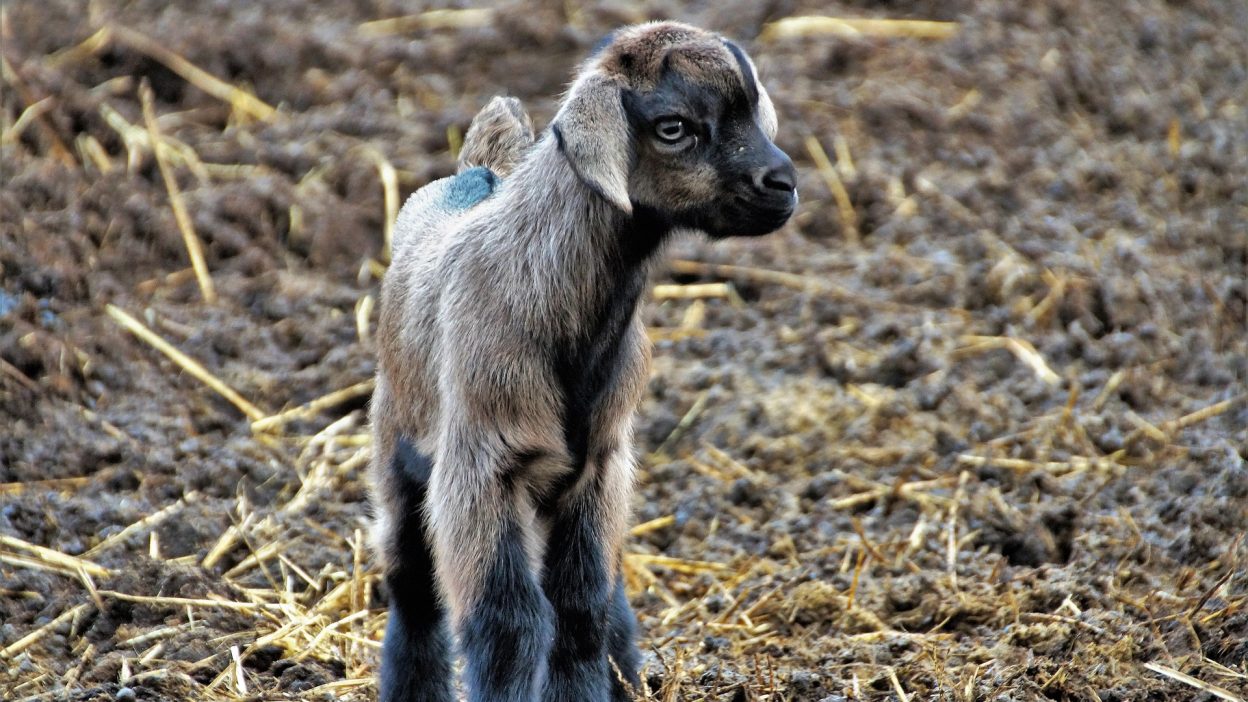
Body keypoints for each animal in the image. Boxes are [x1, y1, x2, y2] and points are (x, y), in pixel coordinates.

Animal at [369, 21, 798, 699]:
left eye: (753, 111)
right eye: (673, 126)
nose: (783, 185)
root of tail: (477, 171)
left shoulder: (602, 465)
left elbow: (581, 604)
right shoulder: (481, 466)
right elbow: (508, 618)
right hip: (397, 446)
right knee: (412, 587)